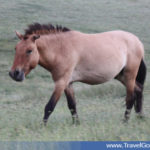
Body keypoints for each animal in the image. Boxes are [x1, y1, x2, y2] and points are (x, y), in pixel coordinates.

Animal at [8, 22, 146, 125]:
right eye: (16, 48)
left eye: (29, 50)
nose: (14, 73)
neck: (61, 49)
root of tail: (137, 41)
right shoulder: (68, 83)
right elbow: (72, 105)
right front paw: (76, 124)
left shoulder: (61, 82)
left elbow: (49, 106)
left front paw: (42, 127)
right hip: (121, 76)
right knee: (138, 90)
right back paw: (140, 117)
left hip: (129, 75)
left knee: (130, 98)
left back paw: (125, 121)